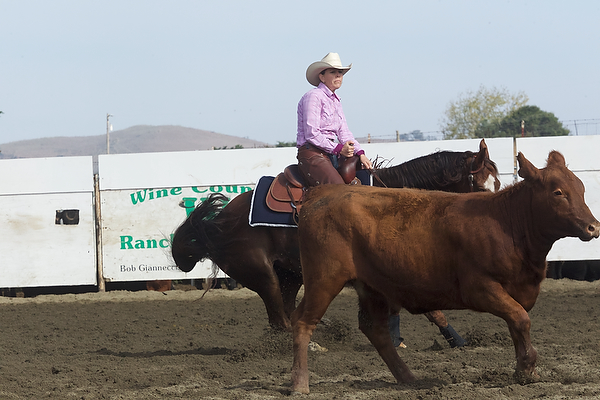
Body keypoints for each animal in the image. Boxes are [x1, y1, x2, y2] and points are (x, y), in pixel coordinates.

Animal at [172, 139, 500, 336]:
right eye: (481, 185)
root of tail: (220, 221)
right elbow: (429, 307)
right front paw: (455, 339)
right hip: (261, 272)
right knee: (278, 315)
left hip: (290, 274)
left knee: (286, 313)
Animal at [290, 151, 600, 393]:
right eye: (558, 193)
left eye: (581, 189)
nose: (593, 227)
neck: (507, 222)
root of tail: (320, 194)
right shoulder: (481, 289)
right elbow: (521, 319)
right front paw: (527, 368)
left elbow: (516, 325)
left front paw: (525, 370)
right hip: (323, 280)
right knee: (302, 321)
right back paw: (300, 383)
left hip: (372, 287)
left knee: (375, 330)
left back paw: (408, 377)